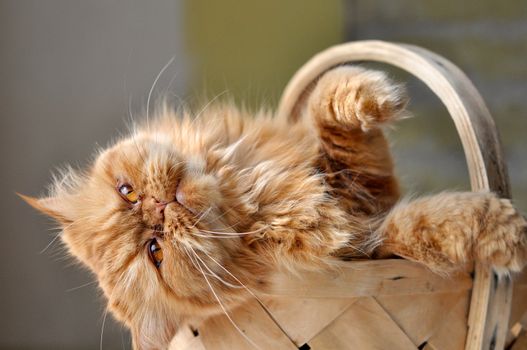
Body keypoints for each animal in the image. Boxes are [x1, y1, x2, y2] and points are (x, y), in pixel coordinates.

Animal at [21, 66, 527, 350]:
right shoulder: (369, 231)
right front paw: (509, 233)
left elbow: (328, 106)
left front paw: (371, 93)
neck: (244, 187)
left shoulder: (350, 177)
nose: (158, 208)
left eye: (126, 192)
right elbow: (433, 223)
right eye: (155, 252)